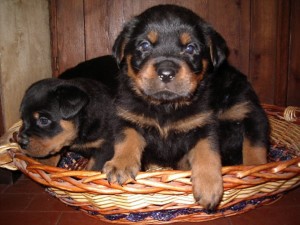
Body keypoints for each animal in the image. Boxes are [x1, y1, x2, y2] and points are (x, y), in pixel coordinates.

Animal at [103, 4, 270, 210]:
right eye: (144, 45)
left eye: (191, 48)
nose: (166, 72)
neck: (166, 107)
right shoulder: (127, 117)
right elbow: (127, 139)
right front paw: (121, 165)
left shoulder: (207, 124)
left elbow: (210, 152)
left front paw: (211, 185)